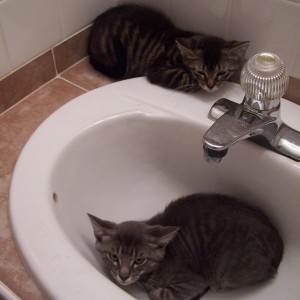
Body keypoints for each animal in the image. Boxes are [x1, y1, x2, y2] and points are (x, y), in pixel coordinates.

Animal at [88, 4, 250, 92]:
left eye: (221, 72)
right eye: (200, 72)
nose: (210, 86)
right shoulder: (158, 69)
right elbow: (185, 77)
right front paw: (196, 84)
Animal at [88, 195, 282, 300]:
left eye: (139, 260)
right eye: (114, 257)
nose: (123, 276)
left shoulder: (193, 281)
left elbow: (160, 293)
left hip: (227, 272)